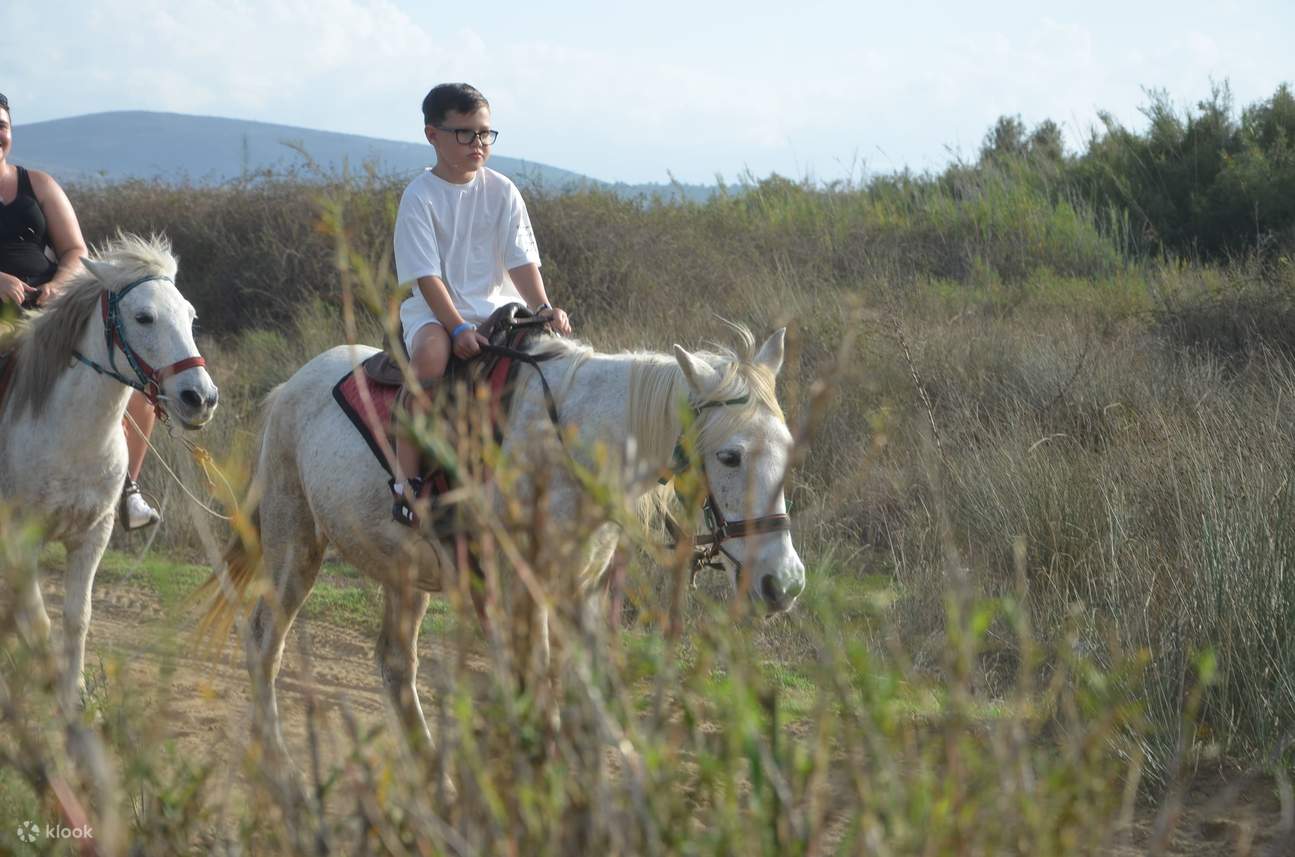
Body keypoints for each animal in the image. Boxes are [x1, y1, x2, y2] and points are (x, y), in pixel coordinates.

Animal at [0, 233, 219, 713]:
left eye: (190, 316)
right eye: (143, 317)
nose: (200, 398)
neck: (68, 437)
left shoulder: (92, 535)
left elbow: (75, 618)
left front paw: (74, 694)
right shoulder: (21, 539)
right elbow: (38, 619)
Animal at [197, 323, 804, 768]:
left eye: (787, 447)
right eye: (729, 455)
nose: (785, 583)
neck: (570, 443)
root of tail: (288, 390)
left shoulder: (580, 591)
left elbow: (589, 701)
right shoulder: (522, 590)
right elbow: (537, 695)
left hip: (404, 573)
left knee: (395, 663)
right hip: (294, 548)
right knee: (265, 644)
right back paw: (276, 757)